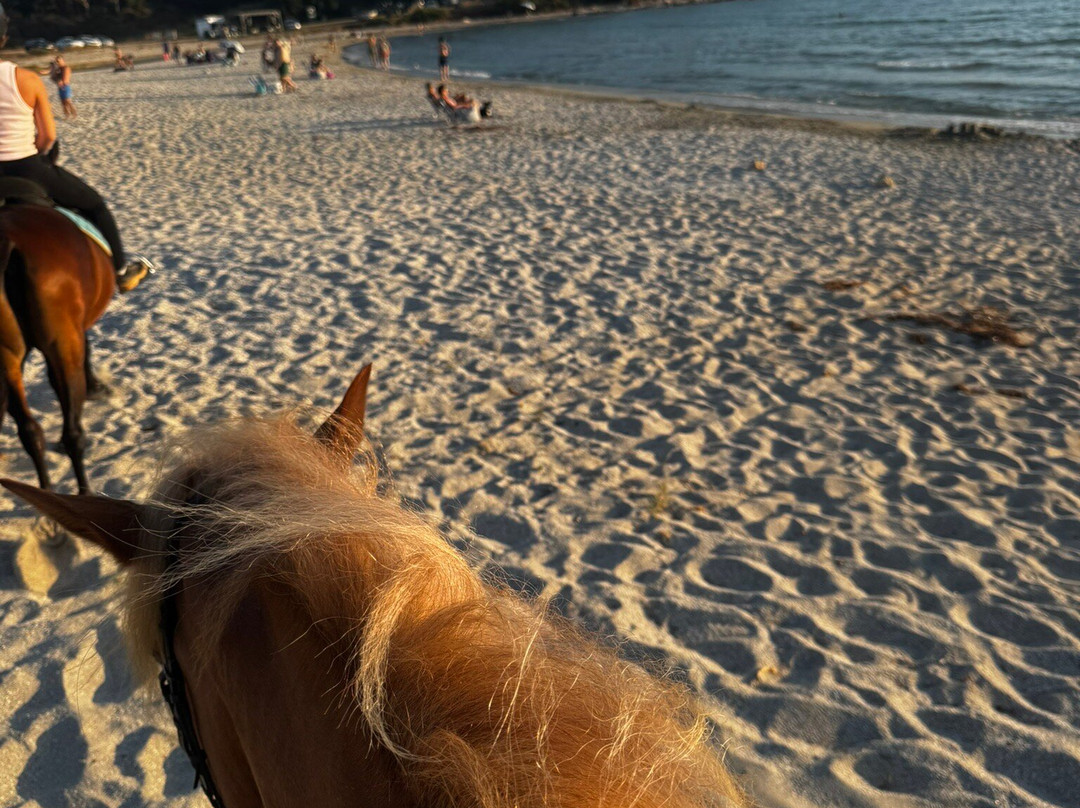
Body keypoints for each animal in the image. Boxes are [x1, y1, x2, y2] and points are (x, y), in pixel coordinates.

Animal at [0, 189, 116, 494]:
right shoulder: (73, 333)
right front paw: (95, 387)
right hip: (63, 345)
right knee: (72, 434)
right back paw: (84, 493)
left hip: (7, 356)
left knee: (30, 431)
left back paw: (46, 492)